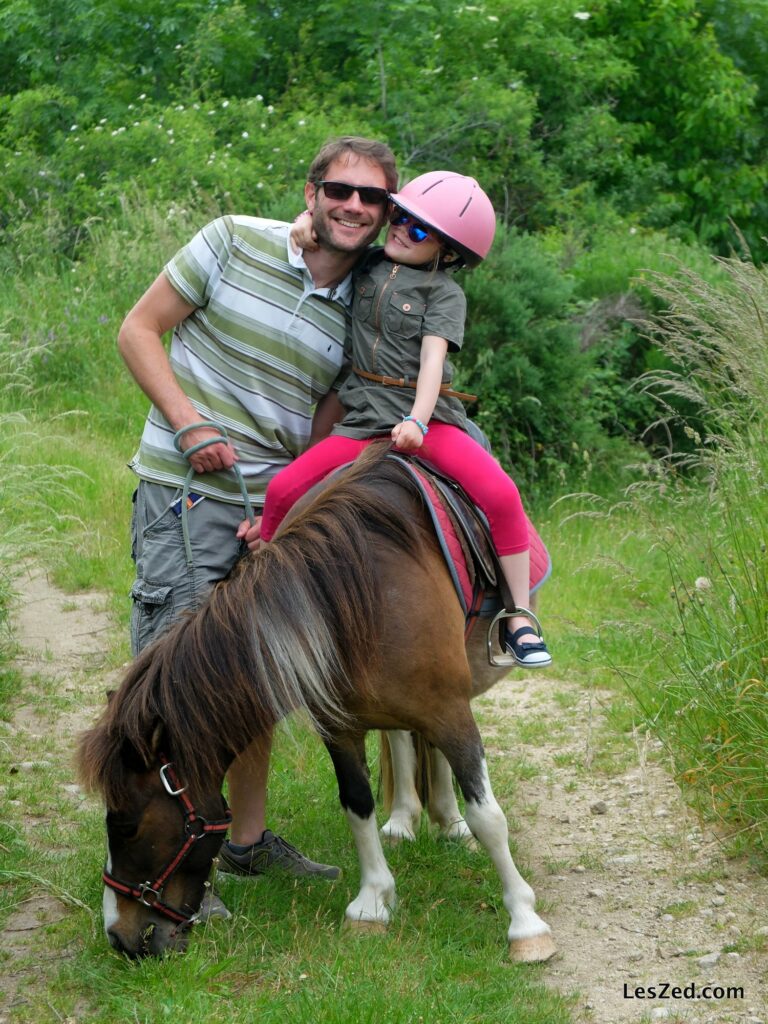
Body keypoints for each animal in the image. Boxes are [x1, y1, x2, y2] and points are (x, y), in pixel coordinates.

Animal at [78, 446, 557, 958]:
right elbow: (357, 803)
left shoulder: (449, 711)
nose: (120, 937)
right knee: (403, 738)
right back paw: (406, 818)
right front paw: (372, 903)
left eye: (127, 826)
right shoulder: (339, 725)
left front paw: (525, 924)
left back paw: (448, 821)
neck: (348, 597)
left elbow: (488, 816)